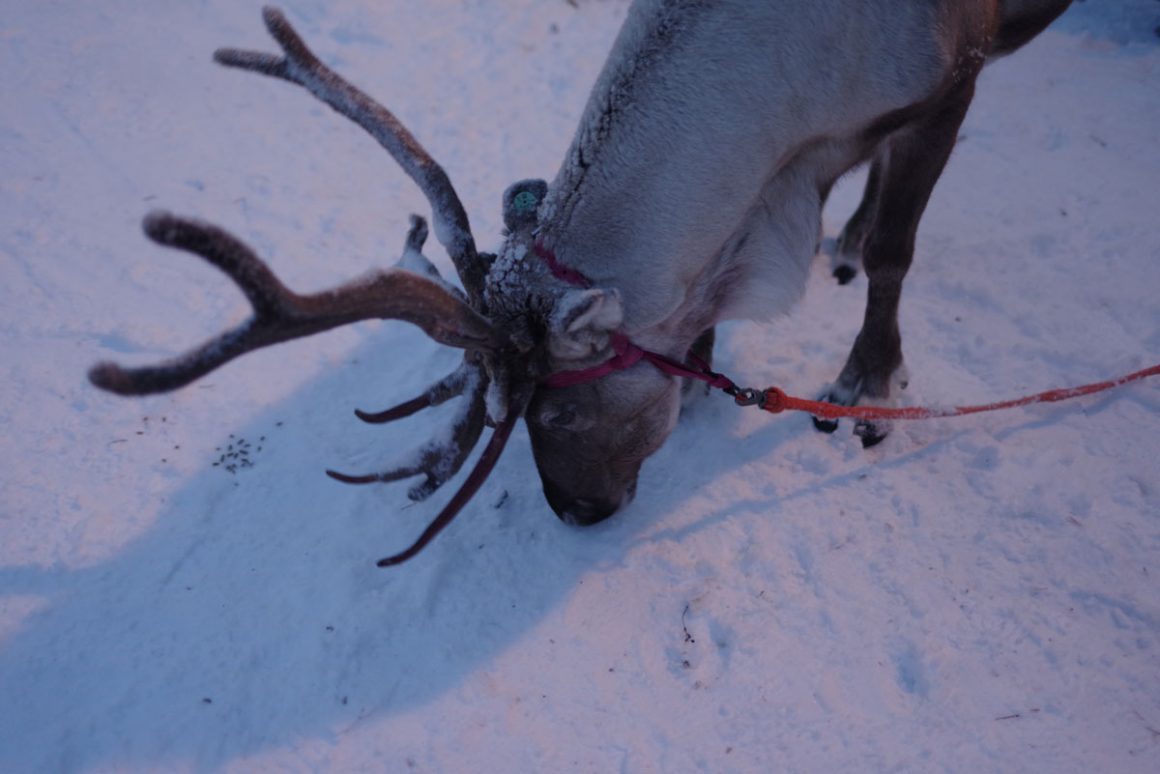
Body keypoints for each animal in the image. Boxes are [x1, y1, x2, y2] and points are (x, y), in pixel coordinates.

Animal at [89, 1, 1074, 565]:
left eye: (554, 411)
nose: (574, 514)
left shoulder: (949, 78)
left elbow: (898, 256)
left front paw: (868, 383)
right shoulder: (798, 160)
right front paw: (705, 359)